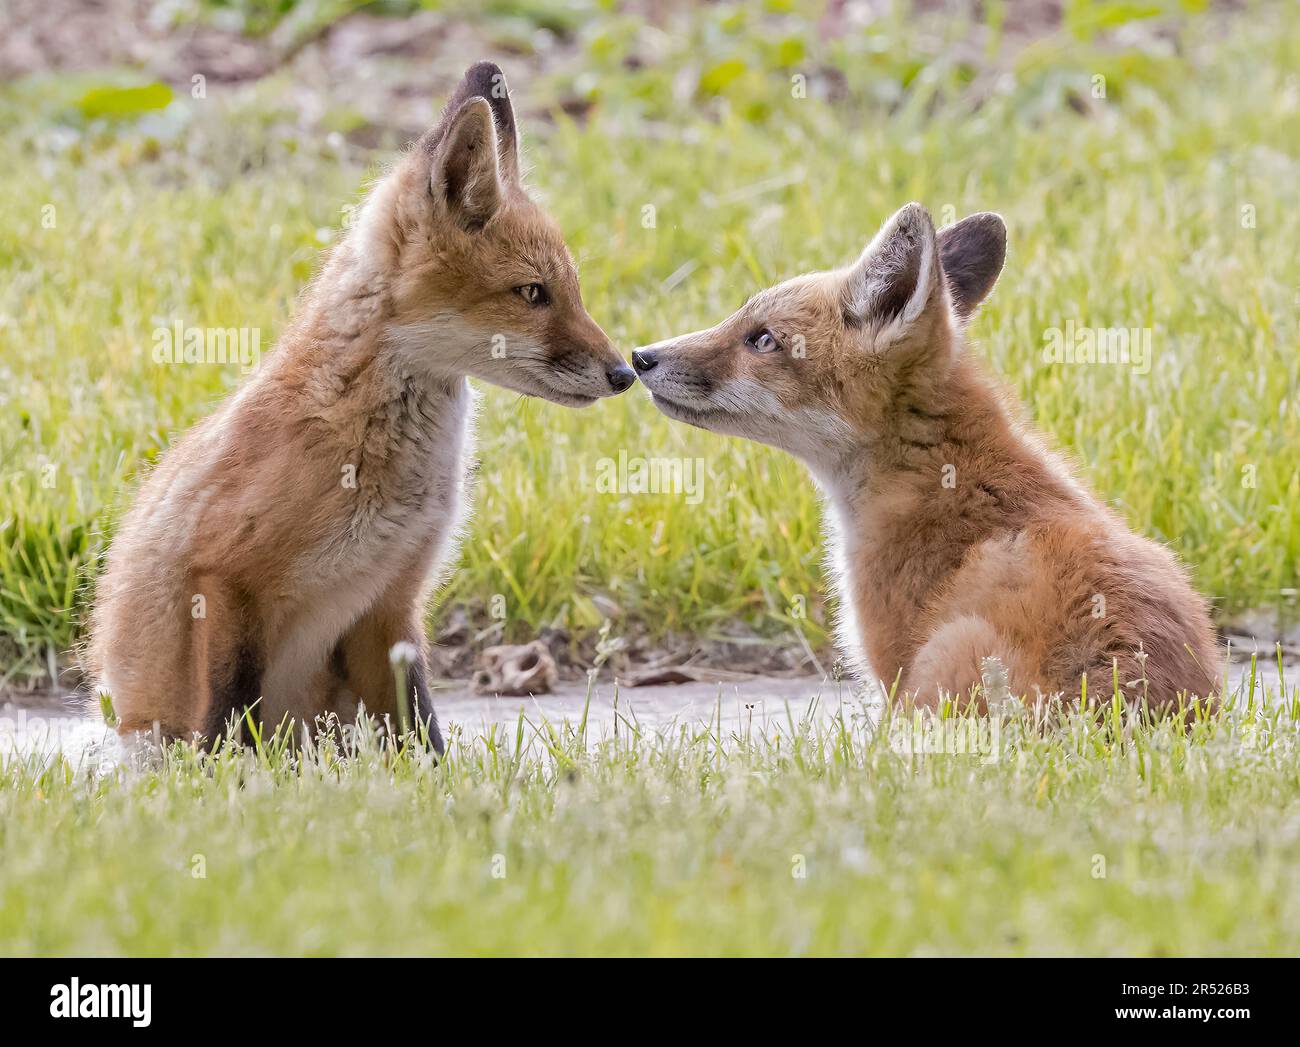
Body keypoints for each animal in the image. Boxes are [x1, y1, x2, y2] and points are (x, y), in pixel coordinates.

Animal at [86, 63, 634, 743]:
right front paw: (227, 772)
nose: (625, 373)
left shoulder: (390, 602)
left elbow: (422, 733)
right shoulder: (222, 576)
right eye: (533, 293)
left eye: (572, 291)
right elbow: (229, 724)